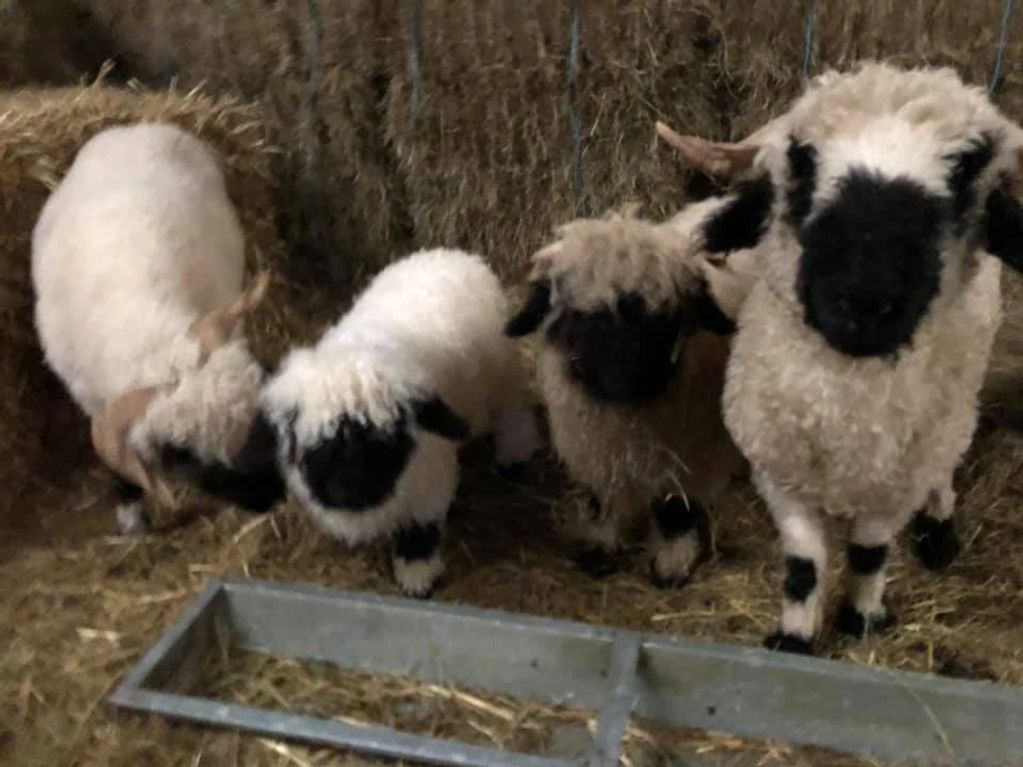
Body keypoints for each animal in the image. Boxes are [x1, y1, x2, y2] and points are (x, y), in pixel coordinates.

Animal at [31, 124, 286, 535]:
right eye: (183, 453)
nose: (273, 497)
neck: (148, 340)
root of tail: (134, 127)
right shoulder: (94, 402)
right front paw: (132, 514)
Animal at [259, 249, 544, 597]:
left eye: (384, 440)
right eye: (316, 442)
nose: (348, 490)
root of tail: (449, 254)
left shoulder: (430, 479)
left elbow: (420, 529)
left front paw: (418, 576)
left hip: (501, 369)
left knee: (512, 409)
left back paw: (514, 456)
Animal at [505, 207, 752, 584]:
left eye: (664, 316)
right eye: (586, 316)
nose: (626, 383)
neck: (625, 419)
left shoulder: (687, 453)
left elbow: (674, 506)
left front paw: (671, 564)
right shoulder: (592, 444)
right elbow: (602, 495)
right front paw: (600, 548)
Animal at [650, 63, 1023, 658]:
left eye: (966, 175)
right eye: (803, 161)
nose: (865, 301)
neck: (843, 418)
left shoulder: (893, 487)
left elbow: (869, 553)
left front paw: (862, 617)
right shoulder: (779, 471)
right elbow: (804, 564)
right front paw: (795, 636)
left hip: (955, 410)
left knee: (945, 467)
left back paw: (939, 531)